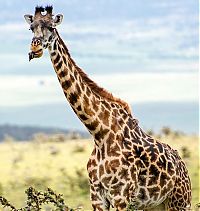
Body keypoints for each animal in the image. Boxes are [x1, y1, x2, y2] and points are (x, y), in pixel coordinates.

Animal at [24, 5, 191, 210]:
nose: (35, 48)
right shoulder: (97, 196)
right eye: (31, 27)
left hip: (179, 201)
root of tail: (183, 166)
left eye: (51, 27)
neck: (99, 133)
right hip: (154, 205)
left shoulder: (121, 196)